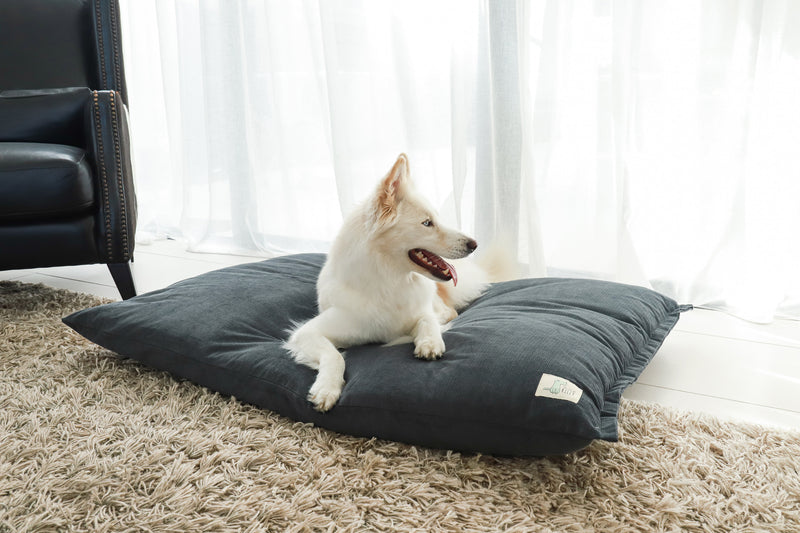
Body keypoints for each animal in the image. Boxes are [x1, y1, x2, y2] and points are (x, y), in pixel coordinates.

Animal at [288, 154, 496, 412]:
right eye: (427, 223)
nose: (474, 244)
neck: (390, 281)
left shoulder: (422, 308)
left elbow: (427, 320)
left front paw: (429, 342)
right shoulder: (307, 333)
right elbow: (334, 355)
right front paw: (326, 389)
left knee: (447, 311)